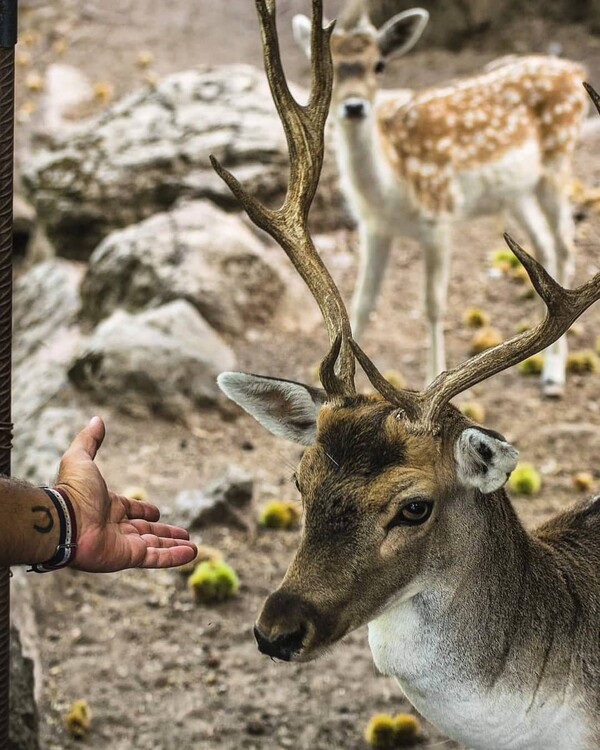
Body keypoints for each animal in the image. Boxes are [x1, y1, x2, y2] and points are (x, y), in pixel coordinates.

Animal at [292, 1, 588, 400]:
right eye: (330, 66)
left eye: (379, 64)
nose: (354, 107)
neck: (392, 189)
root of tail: (575, 69)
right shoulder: (373, 227)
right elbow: (360, 304)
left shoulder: (438, 217)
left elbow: (432, 305)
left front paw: (435, 378)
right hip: (514, 194)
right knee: (542, 245)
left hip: (557, 163)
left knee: (565, 245)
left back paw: (554, 375)